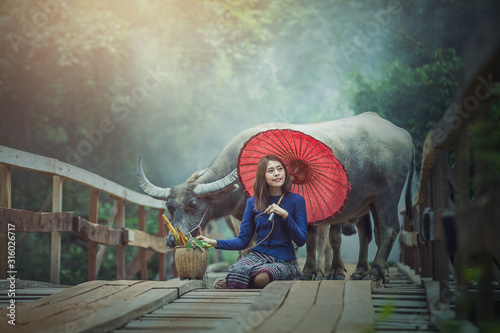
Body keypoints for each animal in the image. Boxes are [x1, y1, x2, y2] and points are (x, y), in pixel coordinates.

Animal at [138, 112, 414, 280]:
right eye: (170, 207)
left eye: (194, 204)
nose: (173, 240)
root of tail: (403, 134)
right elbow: (249, 243)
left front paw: (309, 271)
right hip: (370, 202)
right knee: (372, 232)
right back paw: (363, 271)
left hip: (388, 195)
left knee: (389, 228)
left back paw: (374, 271)